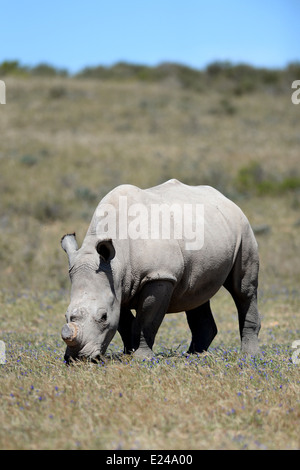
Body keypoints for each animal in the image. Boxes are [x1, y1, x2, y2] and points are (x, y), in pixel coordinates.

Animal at [61, 178, 260, 362]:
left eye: (103, 316)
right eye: (66, 315)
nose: (78, 358)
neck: (117, 264)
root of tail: (225, 198)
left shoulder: (159, 276)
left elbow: (146, 321)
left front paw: (141, 357)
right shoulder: (116, 284)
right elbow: (124, 322)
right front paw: (128, 353)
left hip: (243, 228)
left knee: (243, 290)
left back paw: (248, 356)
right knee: (196, 295)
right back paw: (194, 355)